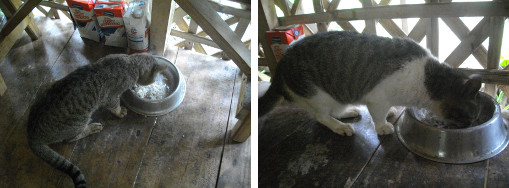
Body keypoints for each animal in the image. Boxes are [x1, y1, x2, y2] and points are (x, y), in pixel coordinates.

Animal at [26, 53, 166, 188]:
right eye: (153, 79)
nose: (153, 81)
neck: (131, 61)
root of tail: (31, 134)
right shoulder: (111, 97)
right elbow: (115, 106)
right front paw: (120, 111)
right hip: (79, 120)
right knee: (70, 138)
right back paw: (91, 128)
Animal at [258, 31, 480, 136]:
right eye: (470, 116)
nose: (471, 125)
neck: (427, 79)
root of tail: (282, 62)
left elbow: (388, 109)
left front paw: (392, 112)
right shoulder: (378, 99)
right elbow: (379, 116)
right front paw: (383, 126)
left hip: (335, 96)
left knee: (332, 111)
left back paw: (348, 112)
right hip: (317, 94)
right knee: (321, 116)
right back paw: (340, 127)